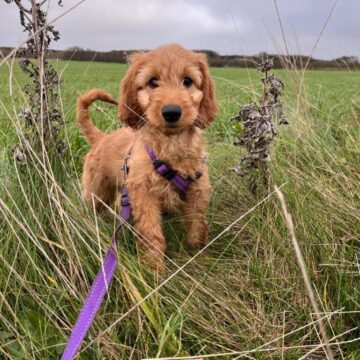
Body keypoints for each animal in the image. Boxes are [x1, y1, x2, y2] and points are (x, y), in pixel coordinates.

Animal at [76, 43, 217, 272]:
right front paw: (153, 267)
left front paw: (199, 257)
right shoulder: (144, 193)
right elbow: (151, 233)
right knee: (92, 207)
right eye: (152, 82)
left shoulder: (197, 190)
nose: (171, 112)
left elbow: (197, 225)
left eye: (187, 81)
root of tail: (101, 138)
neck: (171, 145)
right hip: (96, 190)